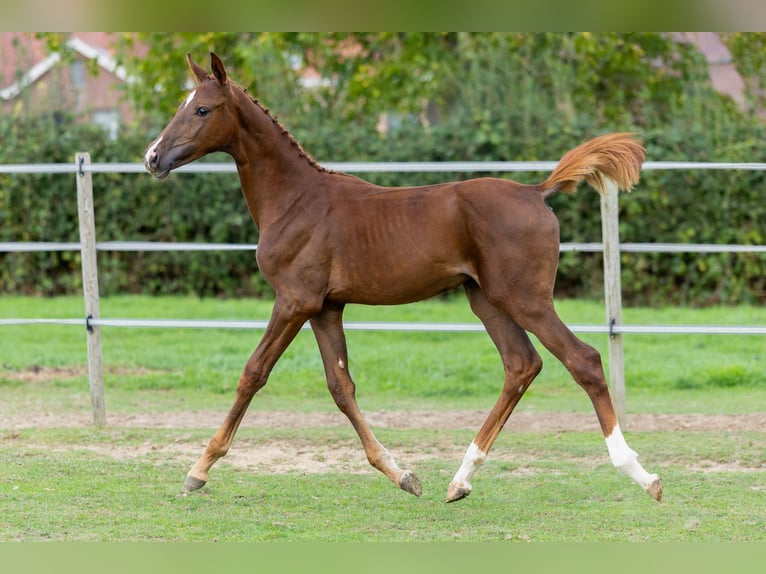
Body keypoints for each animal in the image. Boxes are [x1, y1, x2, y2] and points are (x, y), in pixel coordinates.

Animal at [145, 52, 662, 503]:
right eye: (181, 105)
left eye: (202, 109)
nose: (152, 158)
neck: (295, 200)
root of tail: (537, 192)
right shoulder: (325, 307)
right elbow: (341, 388)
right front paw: (403, 475)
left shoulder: (293, 300)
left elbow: (253, 373)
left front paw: (197, 471)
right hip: (486, 299)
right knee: (521, 365)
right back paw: (460, 480)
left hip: (525, 299)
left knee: (584, 360)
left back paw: (641, 474)